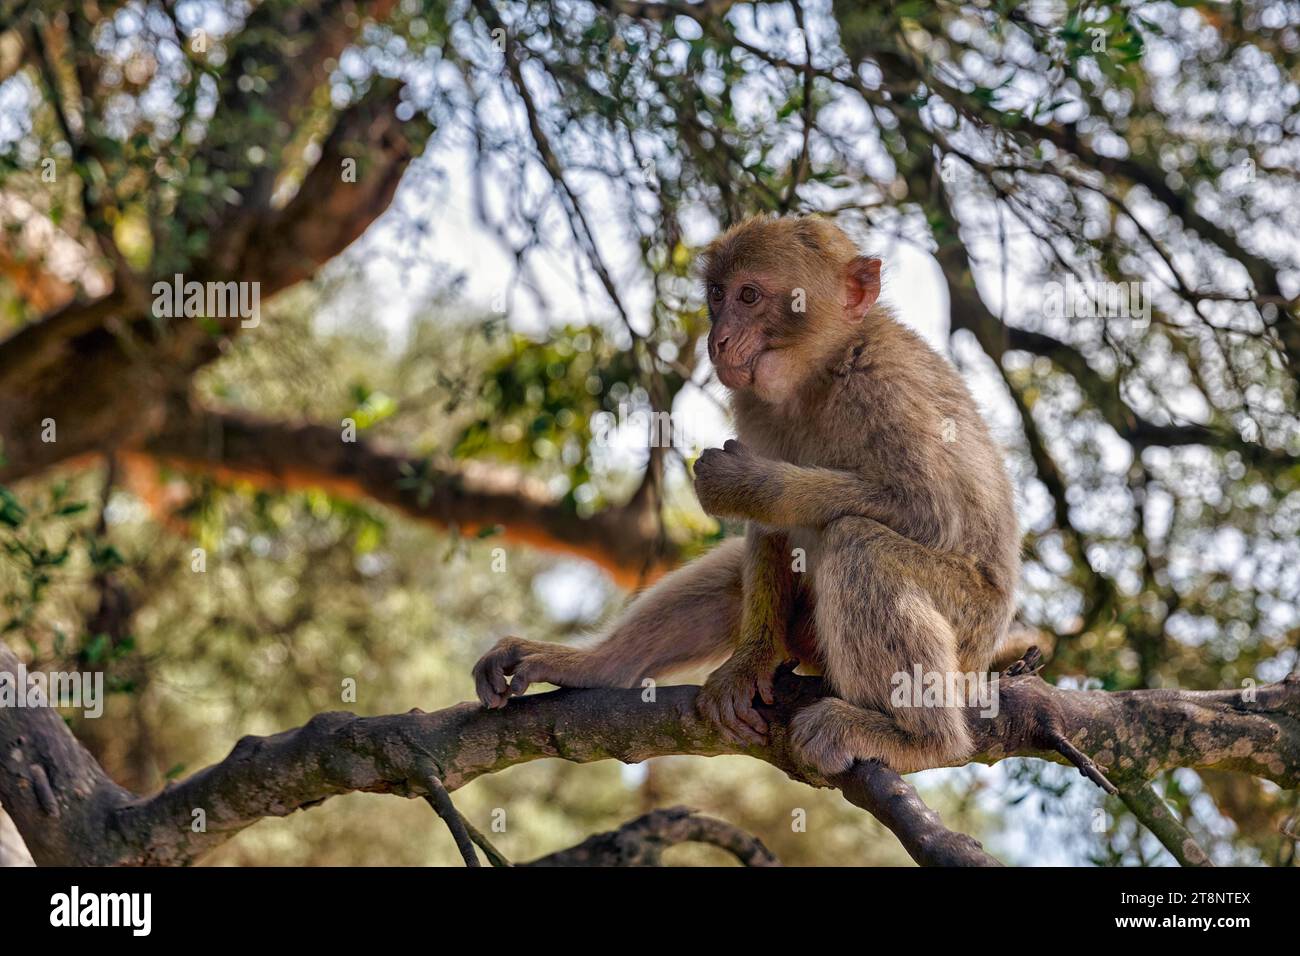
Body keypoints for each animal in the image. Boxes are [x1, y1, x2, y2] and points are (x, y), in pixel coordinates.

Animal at [473, 214, 1019, 780]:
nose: (719, 338)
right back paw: (600, 665)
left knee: (858, 542)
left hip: (970, 624)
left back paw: (919, 738)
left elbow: (929, 513)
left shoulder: (885, 385)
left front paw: (746, 482)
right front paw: (750, 662)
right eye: (718, 294)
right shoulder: (753, 404)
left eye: (750, 295)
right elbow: (769, 531)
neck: (820, 375)